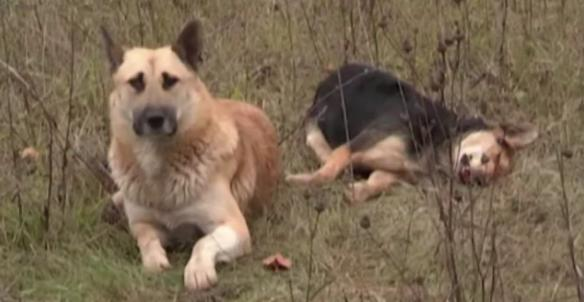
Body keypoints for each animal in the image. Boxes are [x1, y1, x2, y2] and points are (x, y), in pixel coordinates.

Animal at [100, 19, 280, 290]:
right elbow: (147, 240)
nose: (155, 119)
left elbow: (202, 242)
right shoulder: (143, 224)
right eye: (136, 82)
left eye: (170, 81)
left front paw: (197, 270)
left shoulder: (234, 227)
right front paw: (154, 260)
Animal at [288, 63, 540, 205]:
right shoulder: (356, 145)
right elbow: (326, 173)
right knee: (317, 142)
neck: (439, 138)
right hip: (316, 118)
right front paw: (299, 181)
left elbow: (378, 182)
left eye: (486, 182)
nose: (476, 177)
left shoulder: (396, 173)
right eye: (496, 148)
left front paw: (359, 191)